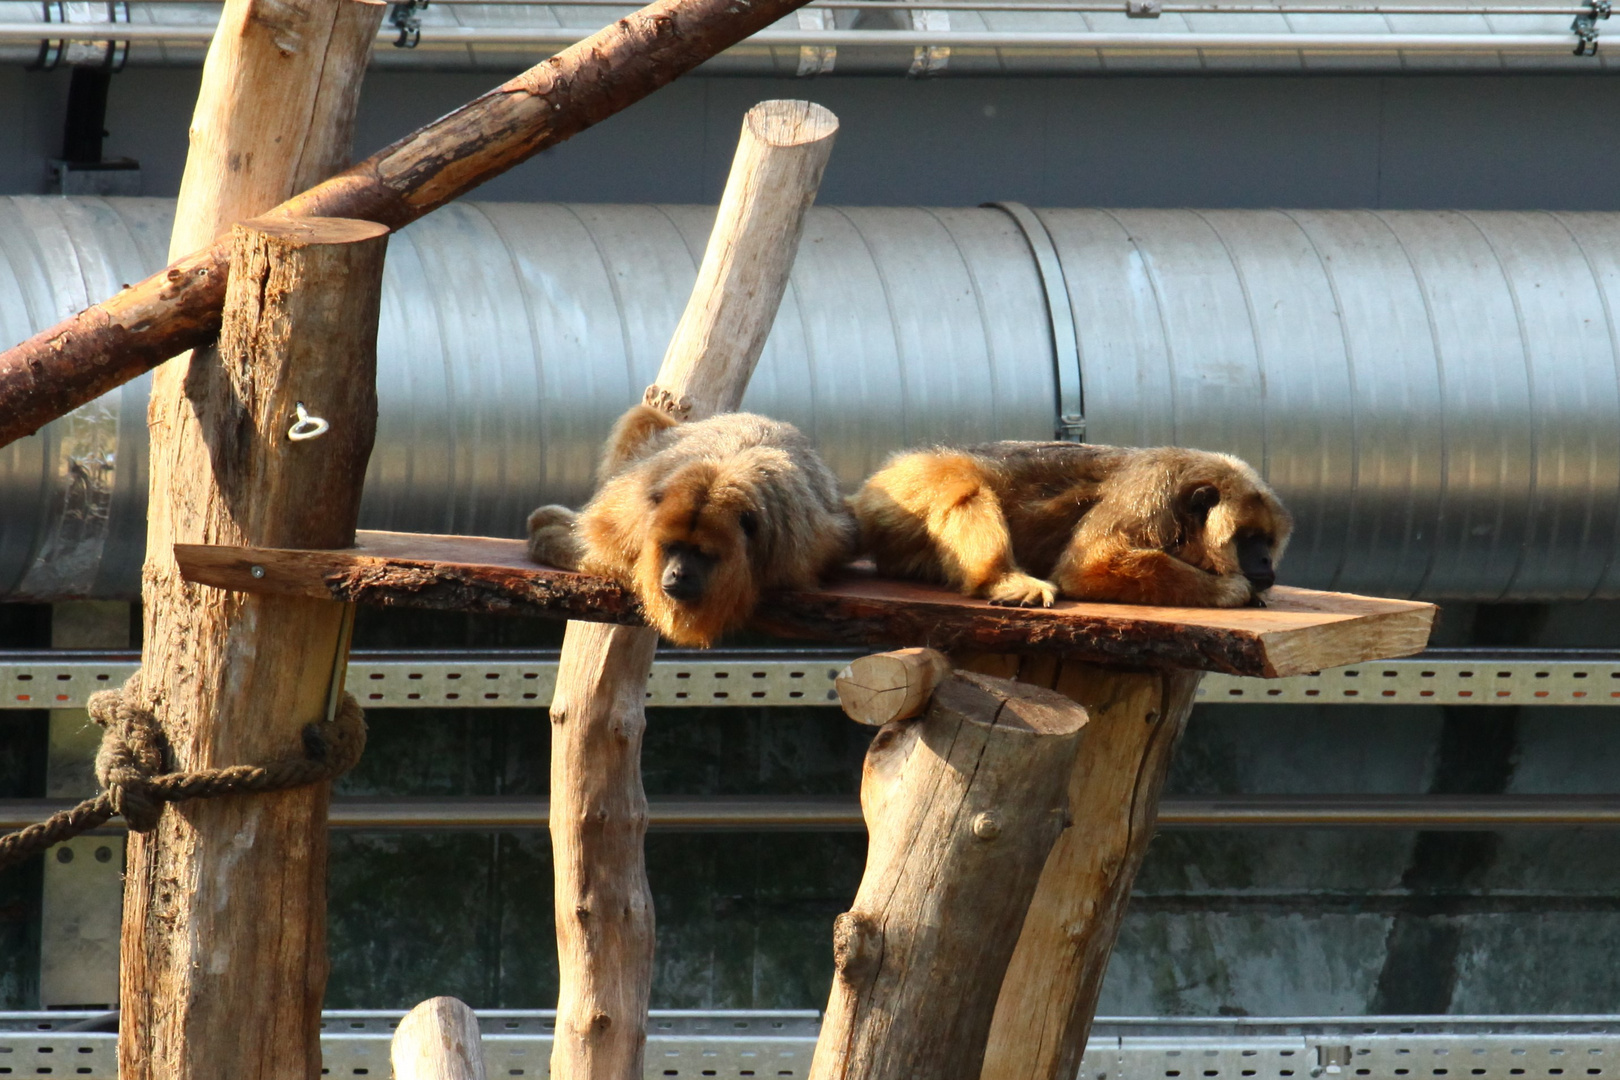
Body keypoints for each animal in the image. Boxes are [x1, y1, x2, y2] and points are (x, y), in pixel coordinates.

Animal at [531, 403, 861, 641]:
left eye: (702, 554)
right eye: (672, 547)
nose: (679, 573)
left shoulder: (793, 554)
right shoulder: (633, 515)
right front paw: (552, 533)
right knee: (643, 416)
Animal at [848, 440, 1289, 608]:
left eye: (1268, 541)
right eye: (1247, 539)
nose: (1265, 563)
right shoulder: (1149, 491)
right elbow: (1089, 566)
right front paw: (1230, 590)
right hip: (903, 490)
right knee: (963, 483)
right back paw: (1004, 579)